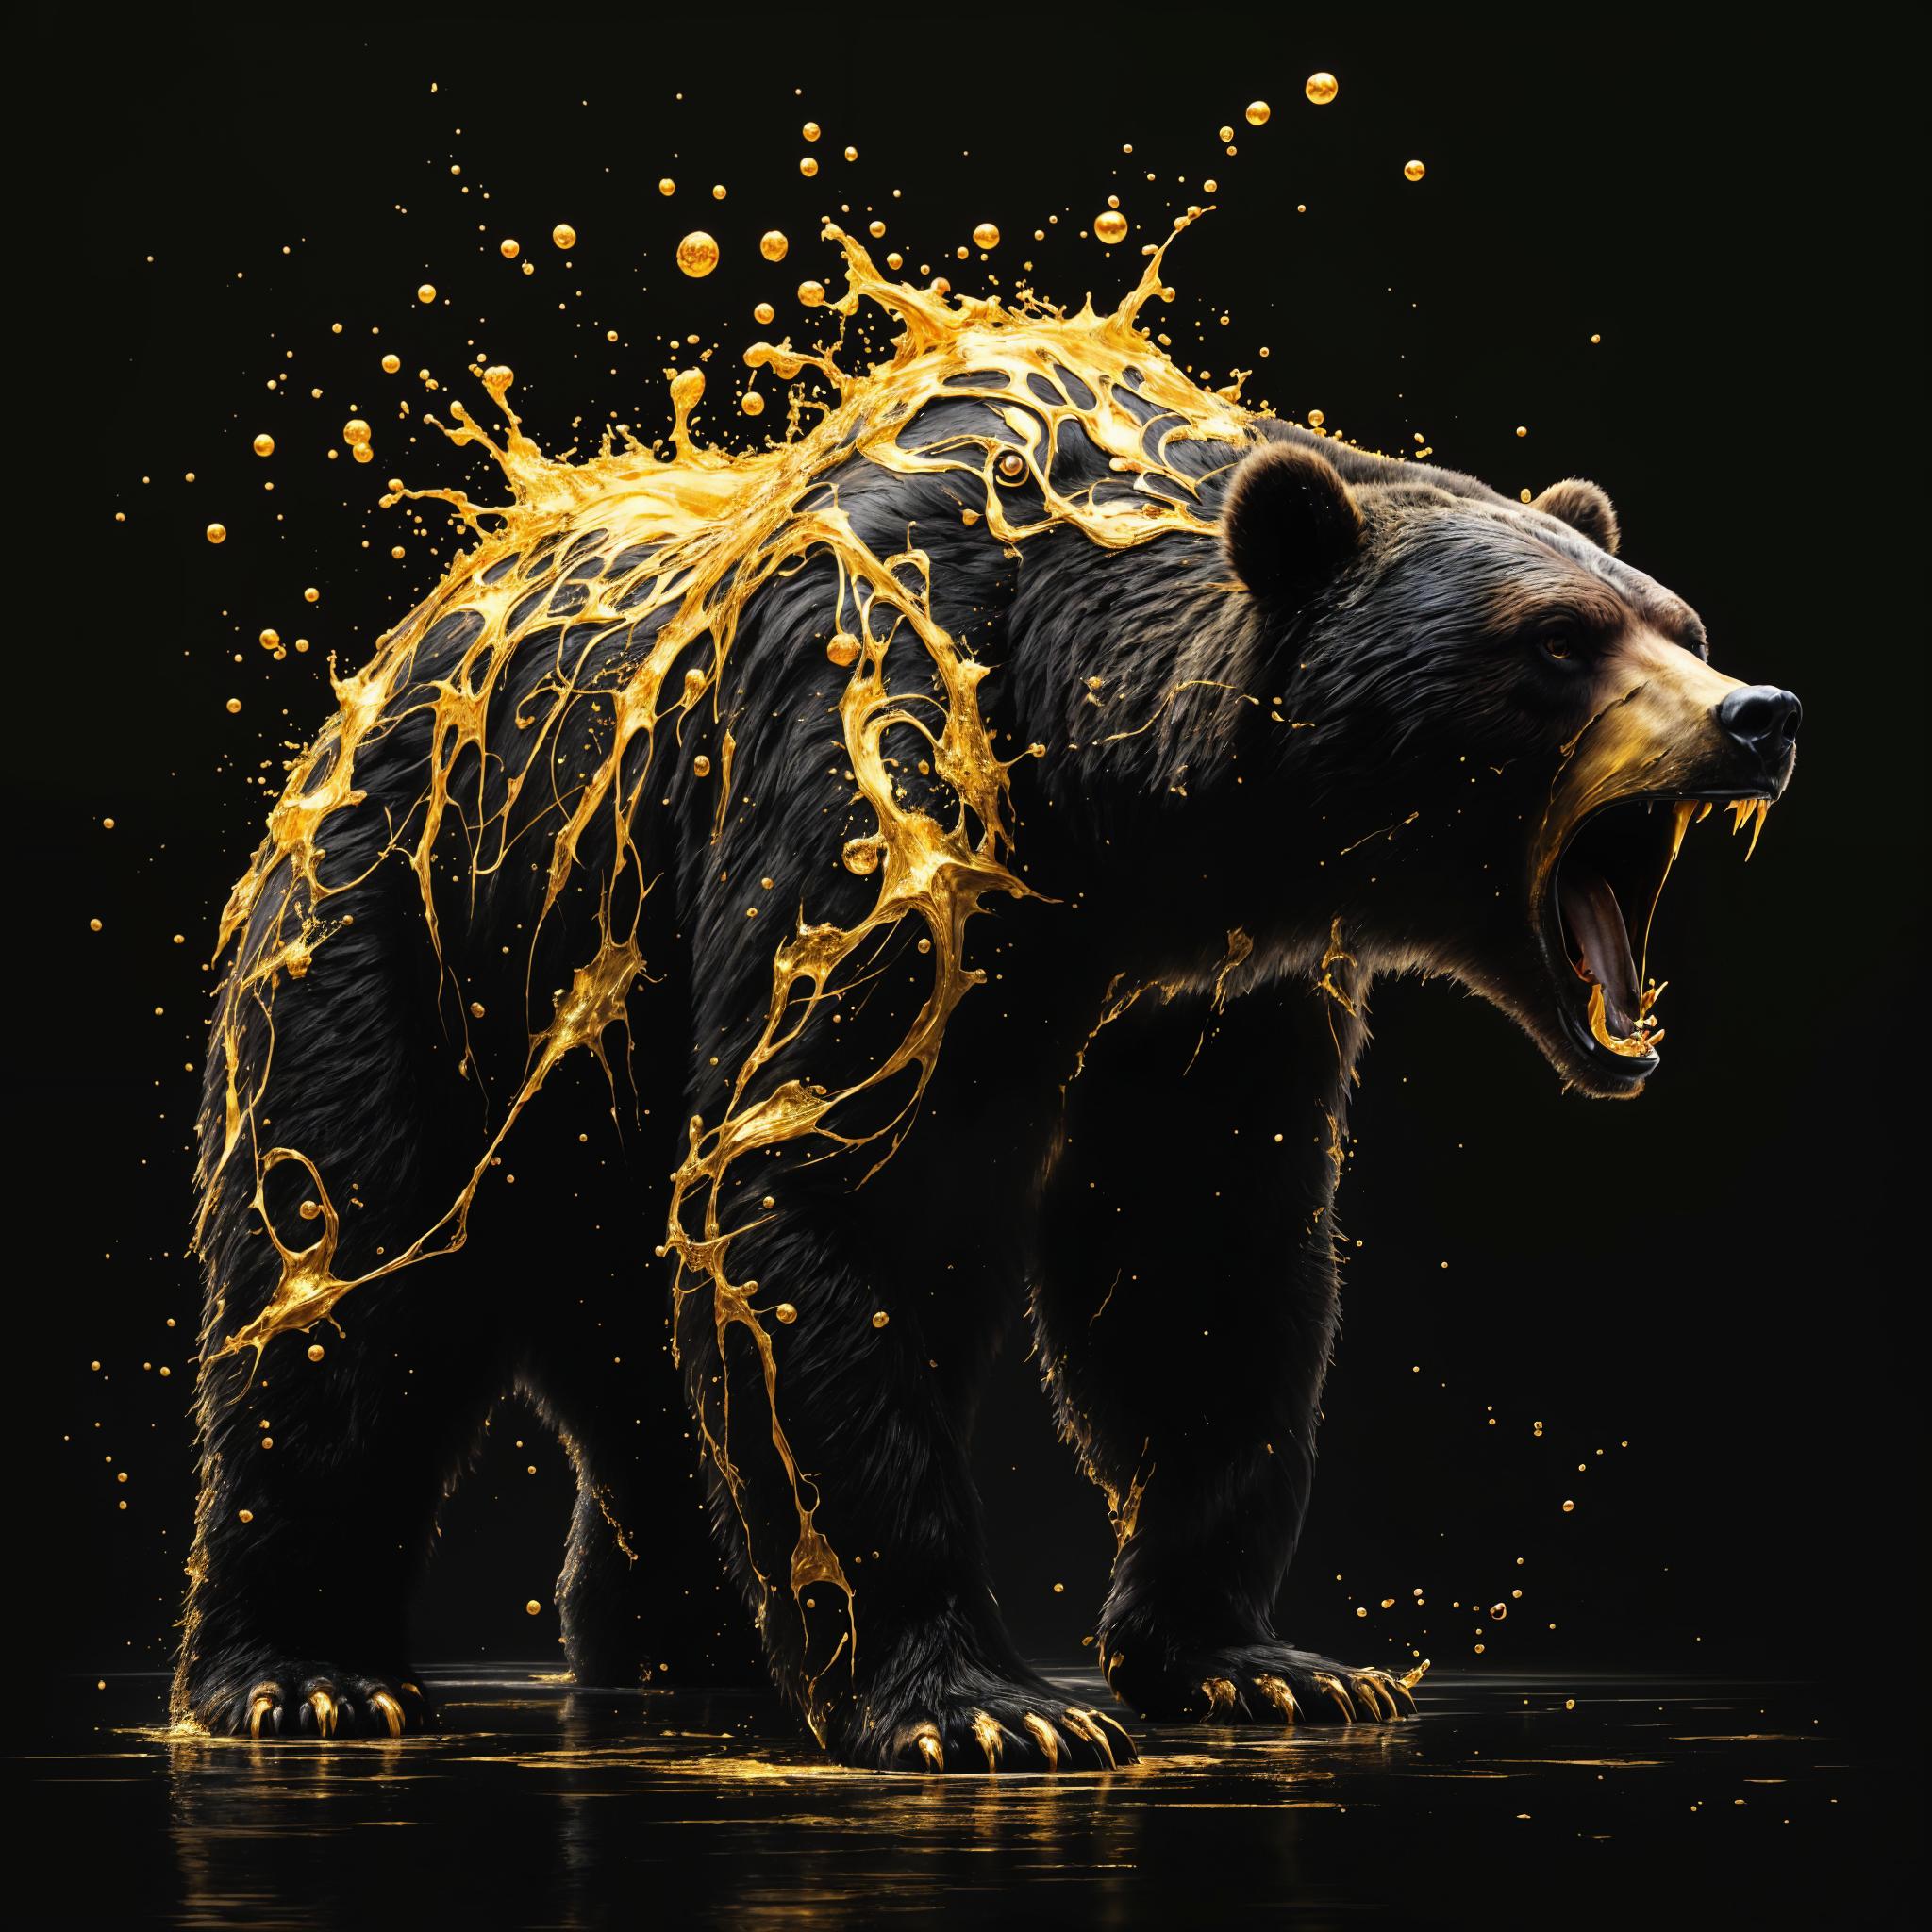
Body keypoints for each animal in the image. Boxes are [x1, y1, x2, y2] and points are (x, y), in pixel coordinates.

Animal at [173, 231, 1800, 1770]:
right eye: (1558, 639)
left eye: (1678, 620)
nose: (1759, 715)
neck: (1103, 802)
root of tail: (374, 678)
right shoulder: (874, 787)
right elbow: (816, 1191)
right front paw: (985, 1705)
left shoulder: (1208, 998)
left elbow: (1200, 1261)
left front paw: (1268, 1663)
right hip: (413, 936)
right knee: (338, 1281)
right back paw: (303, 1674)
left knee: (633, 1353)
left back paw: (684, 1637)